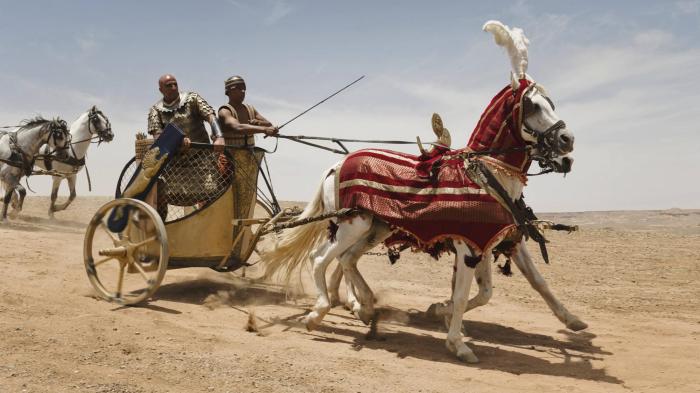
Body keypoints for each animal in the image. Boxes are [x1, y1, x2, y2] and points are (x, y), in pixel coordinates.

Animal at [260, 19, 584, 362]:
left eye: (552, 104)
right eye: (532, 105)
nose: (568, 143)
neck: (487, 175)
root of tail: (337, 164)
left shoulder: (487, 241)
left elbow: (501, 289)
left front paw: (572, 320)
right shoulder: (468, 246)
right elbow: (464, 296)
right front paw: (457, 341)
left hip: (373, 228)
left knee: (345, 260)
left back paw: (363, 306)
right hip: (352, 224)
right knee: (321, 258)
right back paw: (321, 311)